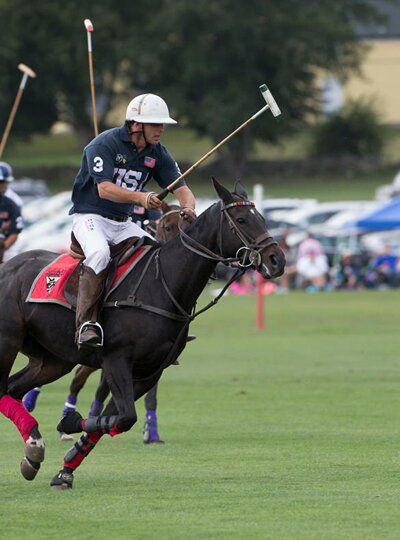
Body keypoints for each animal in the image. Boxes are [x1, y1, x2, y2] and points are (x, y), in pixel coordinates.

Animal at [0, 180, 284, 490]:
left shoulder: (149, 371)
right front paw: (68, 422)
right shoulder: (116, 360)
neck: (163, 283)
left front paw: (66, 469)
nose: (277, 260)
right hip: (9, 341)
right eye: (242, 220)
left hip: (53, 359)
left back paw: (33, 449)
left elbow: (115, 418)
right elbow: (123, 417)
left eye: (262, 218)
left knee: (12, 388)